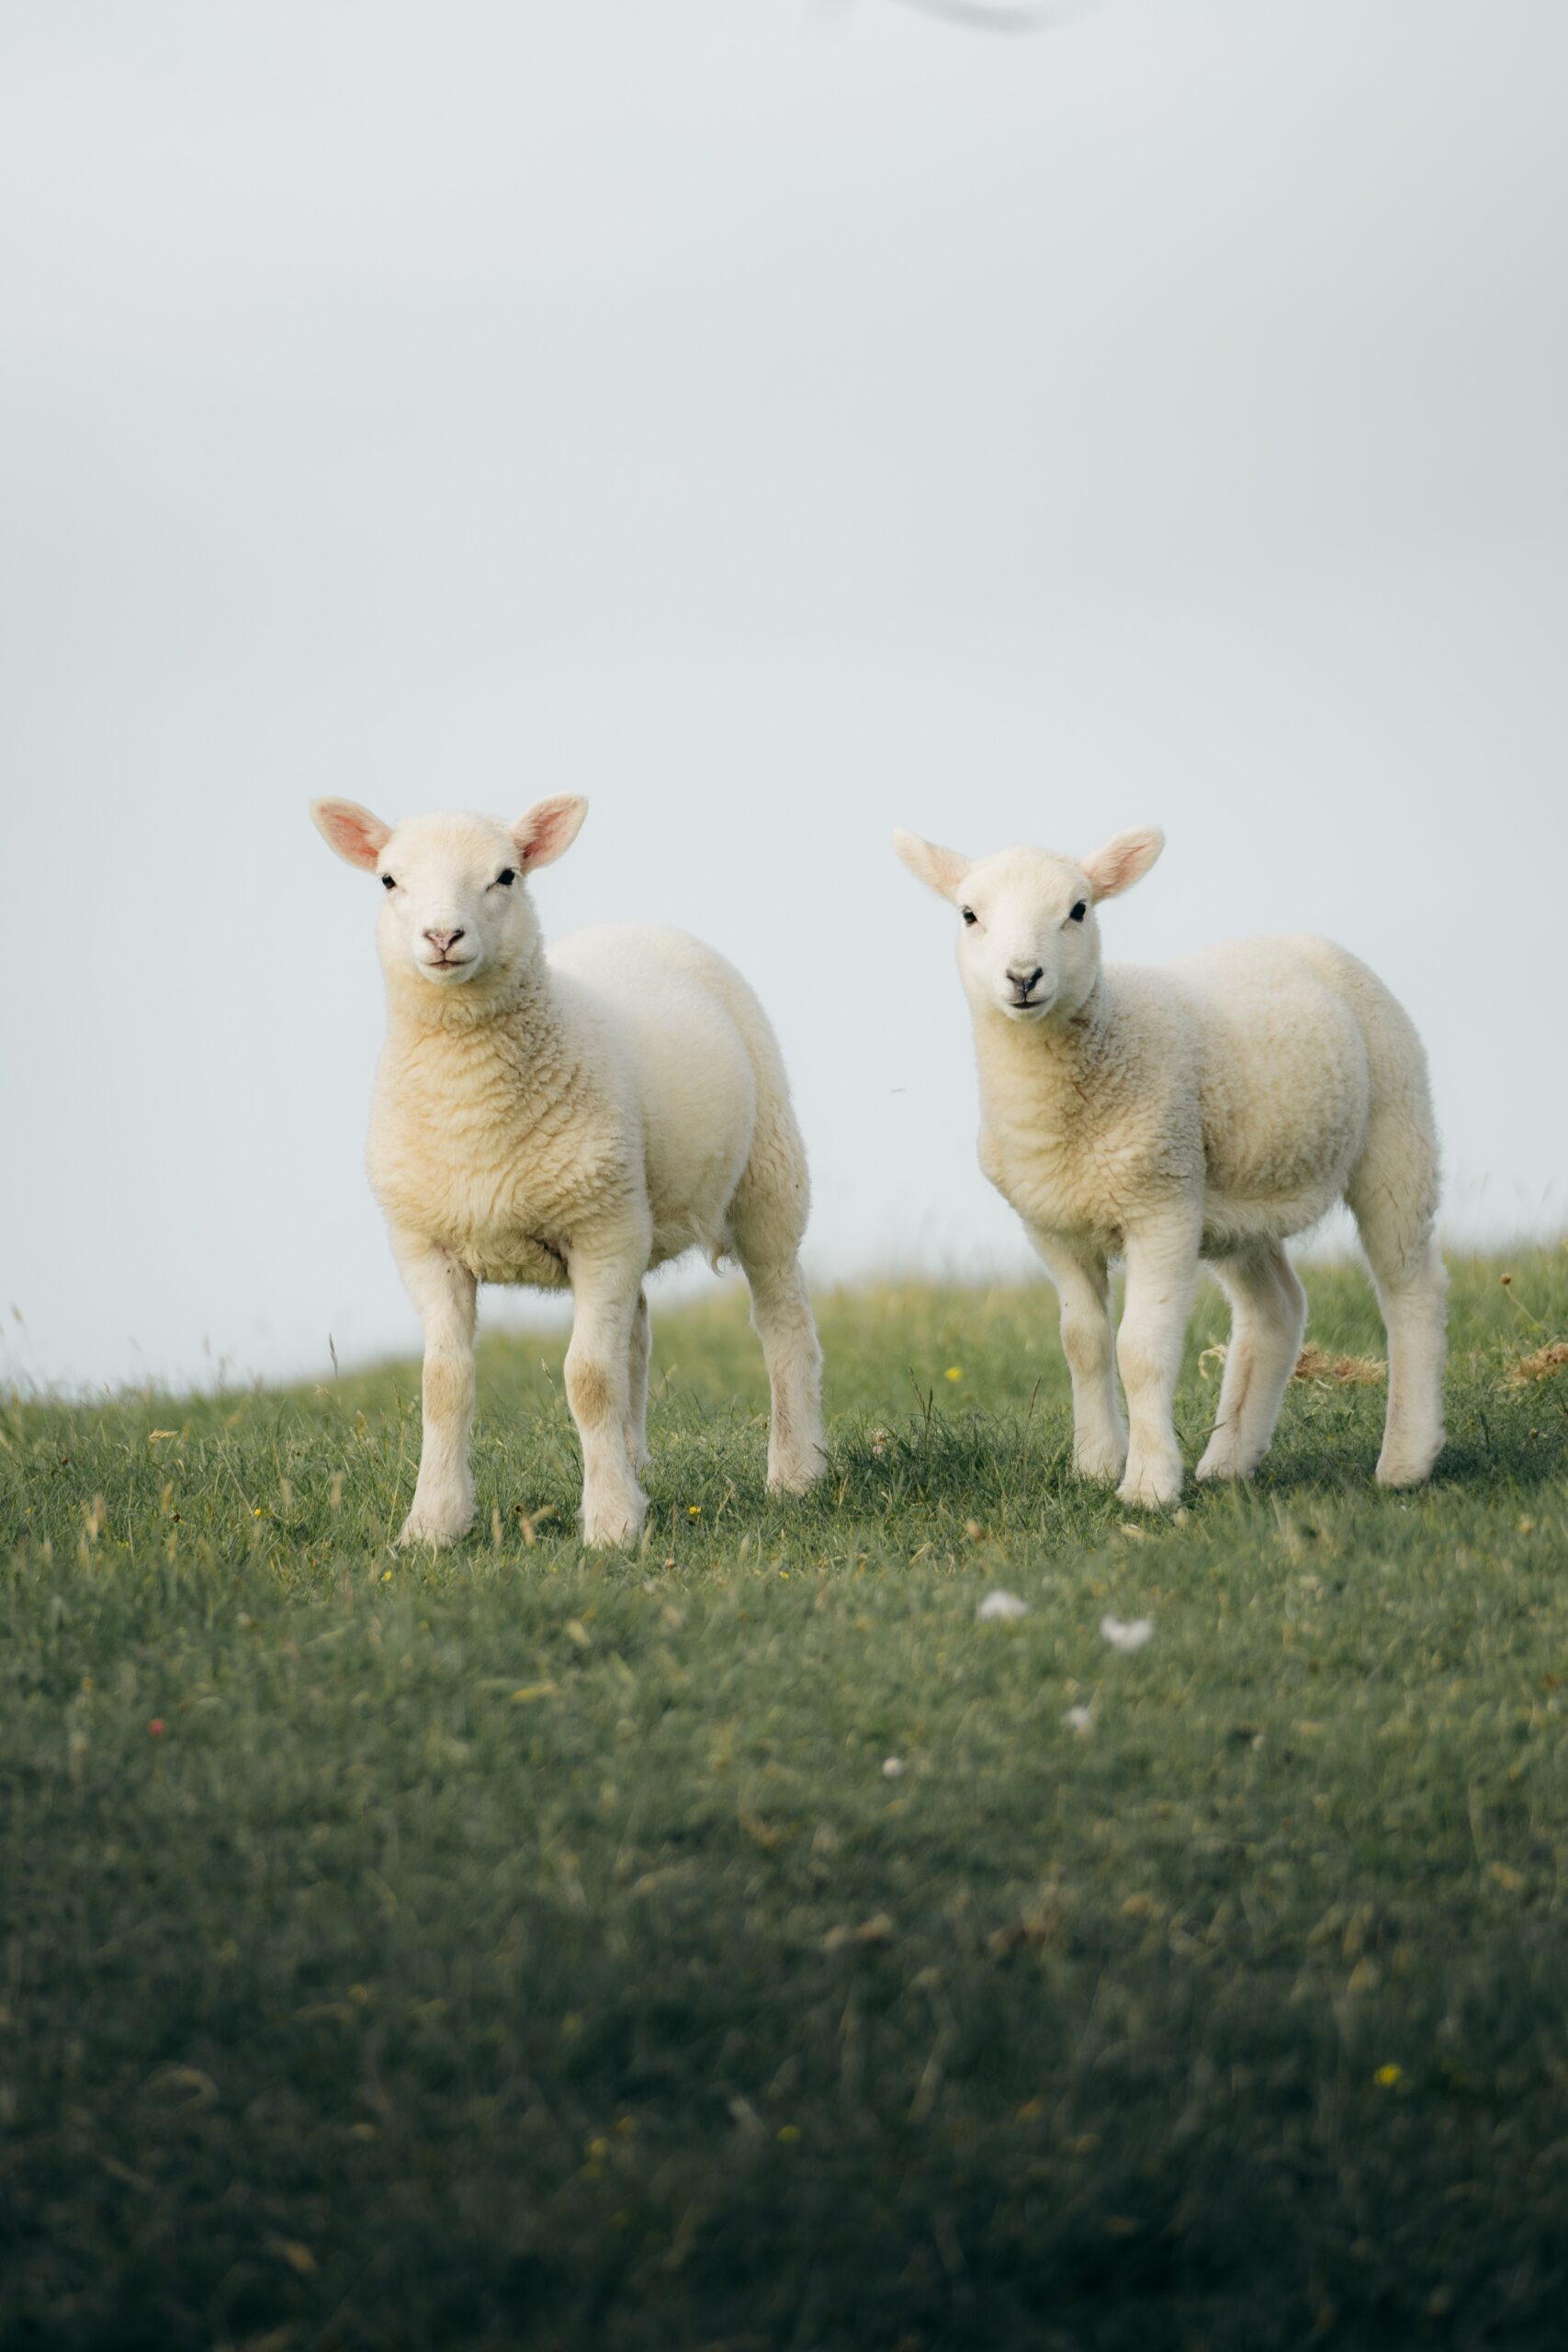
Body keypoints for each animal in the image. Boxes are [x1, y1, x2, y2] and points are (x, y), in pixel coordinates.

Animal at [303, 799, 822, 1552]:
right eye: (388, 880)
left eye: (506, 875)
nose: (442, 935)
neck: (471, 1106)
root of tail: (638, 923)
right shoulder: (426, 1245)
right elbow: (444, 1384)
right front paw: (432, 1524)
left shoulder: (600, 1233)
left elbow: (588, 1380)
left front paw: (610, 1523)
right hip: (629, 1201)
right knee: (637, 1327)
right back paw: (637, 1463)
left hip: (766, 1174)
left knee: (782, 1318)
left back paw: (796, 1470)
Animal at [893, 828, 1448, 1505]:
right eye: (969, 915)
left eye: (1078, 910)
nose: (1023, 976)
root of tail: (1301, 940)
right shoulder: (1052, 1226)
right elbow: (1083, 1344)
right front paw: (1096, 1463)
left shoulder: (1160, 1206)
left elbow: (1140, 1349)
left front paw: (1148, 1484)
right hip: (1235, 1199)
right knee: (1276, 1308)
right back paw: (1230, 1459)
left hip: (1396, 1127)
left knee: (1410, 1288)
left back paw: (1406, 1458)